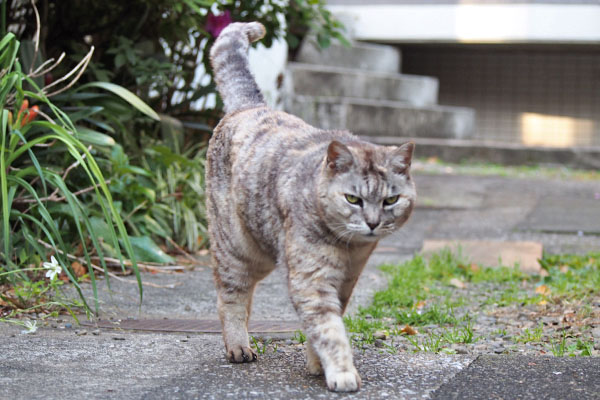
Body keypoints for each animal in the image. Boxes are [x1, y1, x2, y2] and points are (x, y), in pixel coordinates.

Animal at [209, 21, 414, 390]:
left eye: (391, 200)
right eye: (353, 198)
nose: (373, 223)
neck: (349, 249)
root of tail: (249, 105)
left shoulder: (347, 281)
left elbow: (325, 326)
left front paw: (317, 364)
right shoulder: (312, 280)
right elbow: (329, 330)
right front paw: (342, 372)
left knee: (244, 298)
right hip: (238, 249)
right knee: (229, 296)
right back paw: (238, 347)